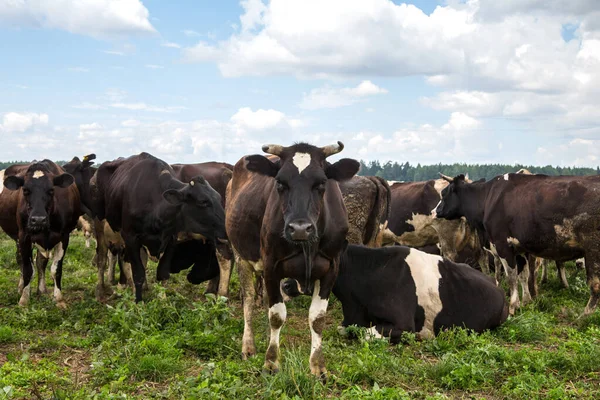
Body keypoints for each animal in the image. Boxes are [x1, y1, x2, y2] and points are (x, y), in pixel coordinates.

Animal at [226, 141, 358, 378]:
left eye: (321, 183)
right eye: (280, 182)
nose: (299, 228)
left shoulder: (331, 267)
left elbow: (317, 318)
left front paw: (318, 366)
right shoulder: (271, 265)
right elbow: (277, 315)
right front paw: (271, 362)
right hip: (241, 255)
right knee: (248, 300)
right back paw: (248, 346)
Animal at [434, 173, 600, 316]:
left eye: (444, 193)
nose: (435, 211)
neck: (489, 197)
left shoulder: (503, 245)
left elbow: (512, 276)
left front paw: (514, 306)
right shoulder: (520, 248)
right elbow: (523, 275)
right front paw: (526, 301)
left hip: (593, 251)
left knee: (595, 285)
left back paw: (584, 316)